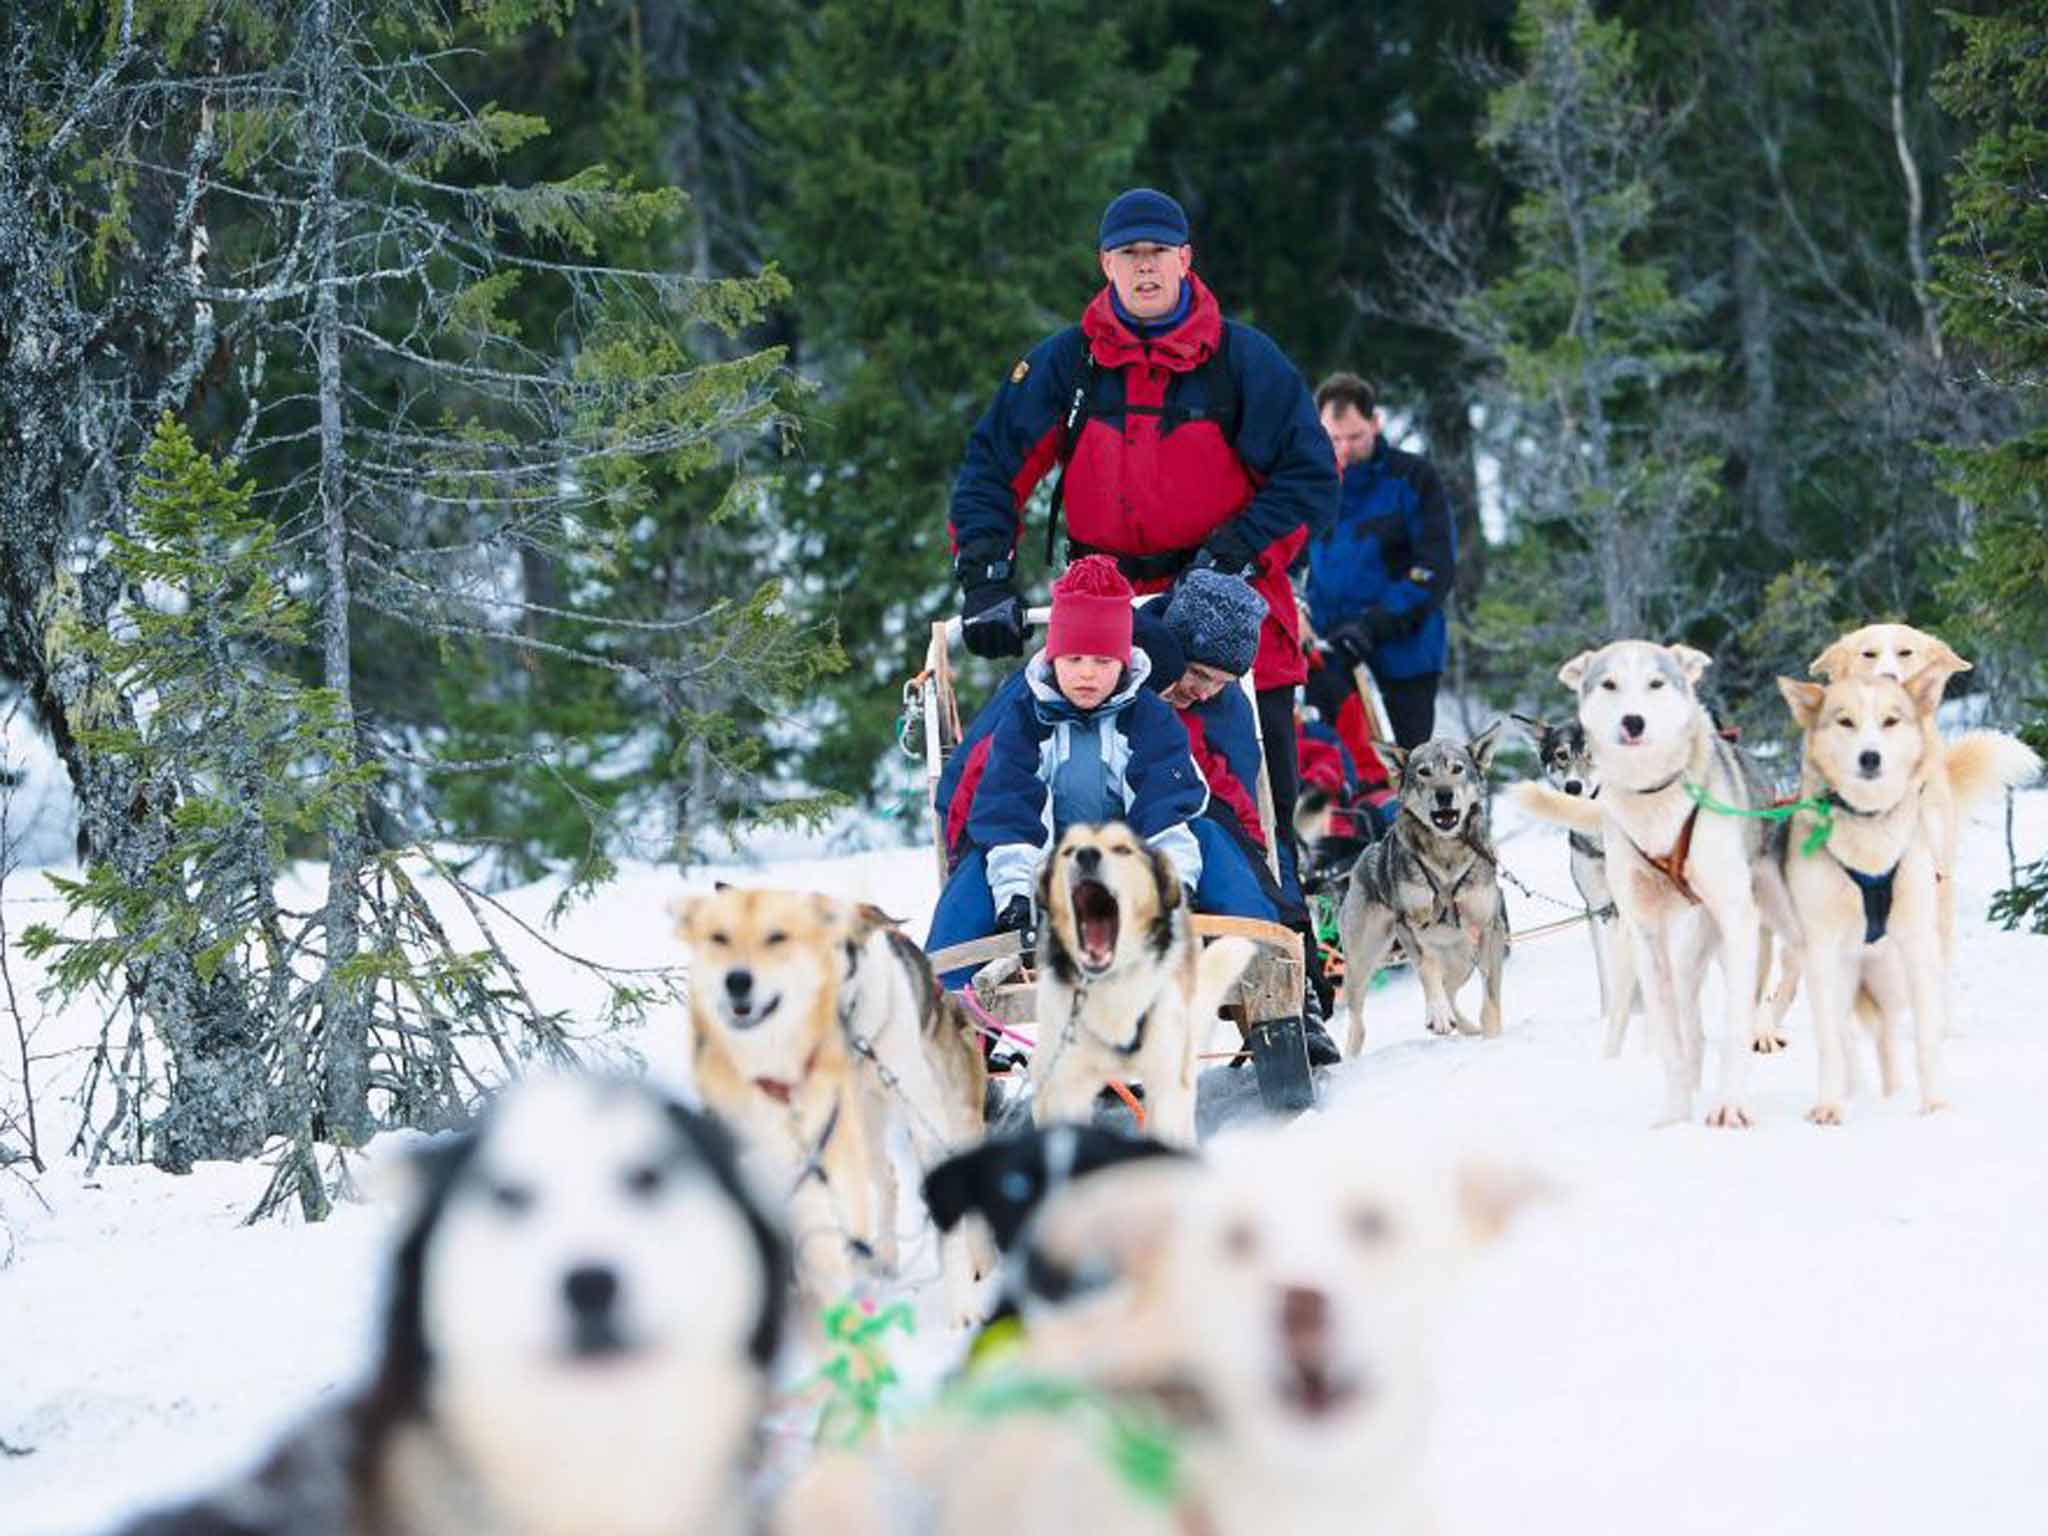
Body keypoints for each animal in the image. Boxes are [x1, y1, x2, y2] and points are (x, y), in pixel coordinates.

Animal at [1335, 729, 1515, 1056]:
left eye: (1457, 768)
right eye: (1424, 772)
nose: (1444, 794)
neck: (1446, 856)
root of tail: (1365, 857)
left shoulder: (1490, 928)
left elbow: (1491, 994)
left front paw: (1492, 1036)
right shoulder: (1408, 925)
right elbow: (1427, 967)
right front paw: (1438, 1015)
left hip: (1463, 960)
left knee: (1450, 989)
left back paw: (1467, 1027)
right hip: (1362, 962)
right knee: (1358, 1016)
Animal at [1515, 638, 1785, 1130]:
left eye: (1657, 683)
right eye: (1608, 684)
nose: (1633, 721)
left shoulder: (1735, 922)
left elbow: (1734, 1017)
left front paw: (1729, 1103)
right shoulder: (1631, 927)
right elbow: (1656, 1027)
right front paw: (1674, 1114)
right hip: (1680, 954)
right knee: (1684, 1020)